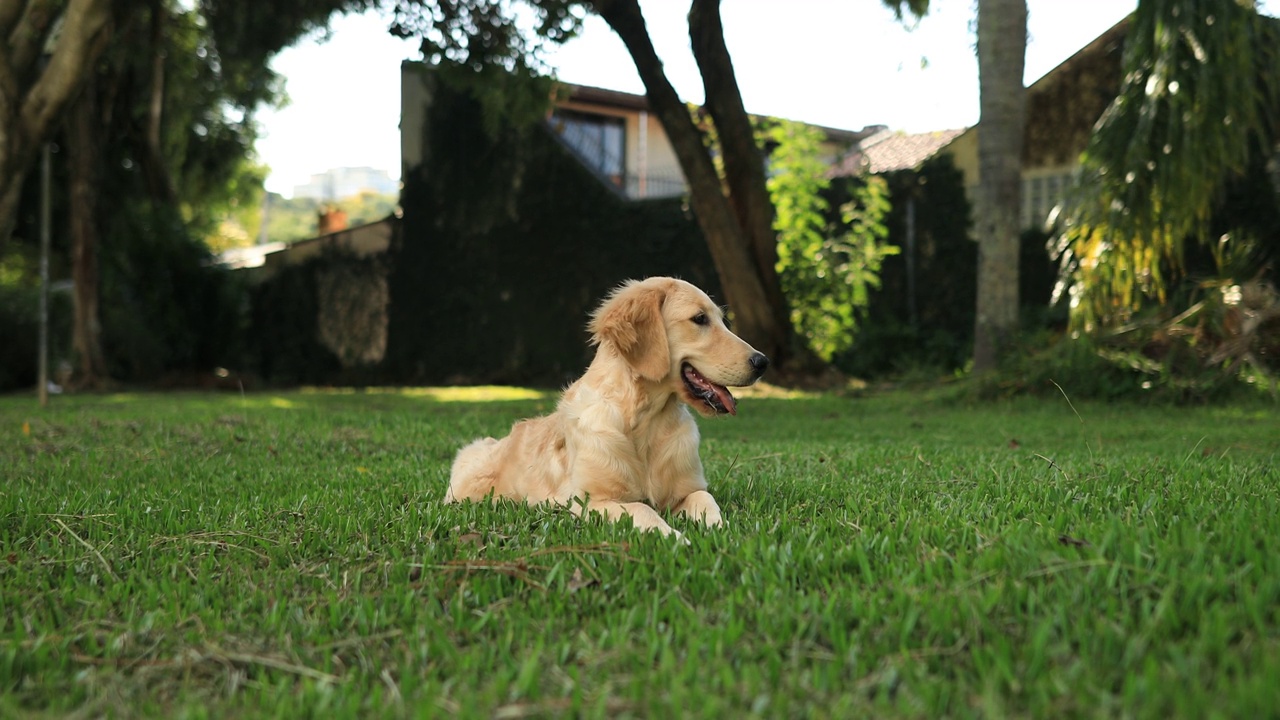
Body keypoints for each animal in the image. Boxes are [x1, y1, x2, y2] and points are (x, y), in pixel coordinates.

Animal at [448, 278, 768, 535]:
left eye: (721, 320)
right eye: (699, 319)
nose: (762, 362)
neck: (647, 420)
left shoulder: (687, 490)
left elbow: (706, 501)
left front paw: (721, 531)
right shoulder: (591, 502)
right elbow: (643, 509)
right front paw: (676, 539)